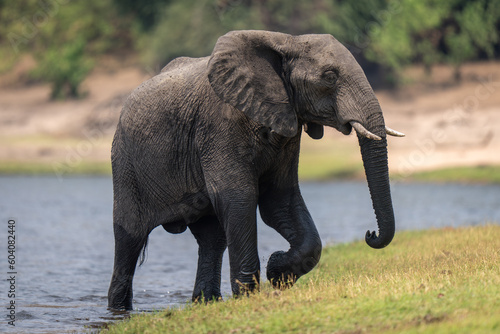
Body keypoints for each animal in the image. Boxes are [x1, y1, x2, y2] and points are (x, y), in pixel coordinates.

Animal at [107, 30, 404, 310]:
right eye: (329, 77)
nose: (370, 234)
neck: (287, 41)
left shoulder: (288, 127)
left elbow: (279, 200)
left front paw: (277, 271)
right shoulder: (219, 126)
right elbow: (240, 197)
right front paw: (251, 293)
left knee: (211, 239)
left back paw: (206, 302)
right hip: (125, 162)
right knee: (129, 238)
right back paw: (119, 309)